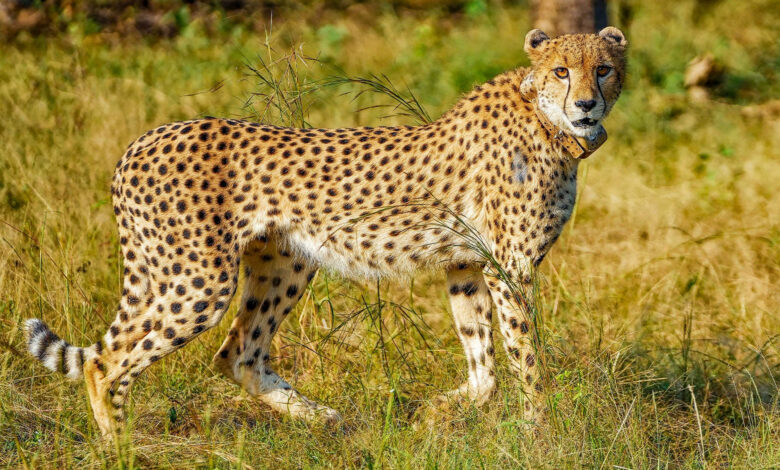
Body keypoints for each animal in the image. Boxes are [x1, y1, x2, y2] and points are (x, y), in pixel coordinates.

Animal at [25, 26, 627, 439]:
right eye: (561, 71)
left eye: (603, 69)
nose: (586, 103)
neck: (548, 123)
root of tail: (144, 139)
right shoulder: (510, 268)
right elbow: (527, 358)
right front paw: (541, 433)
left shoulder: (467, 263)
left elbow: (485, 367)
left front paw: (438, 411)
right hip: (199, 280)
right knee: (107, 363)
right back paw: (120, 446)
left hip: (284, 263)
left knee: (237, 353)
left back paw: (321, 417)